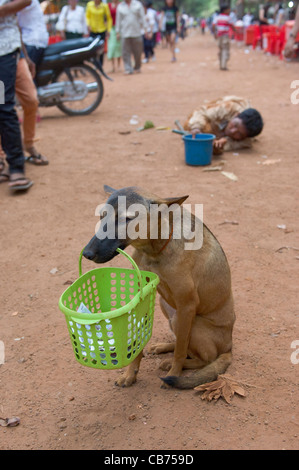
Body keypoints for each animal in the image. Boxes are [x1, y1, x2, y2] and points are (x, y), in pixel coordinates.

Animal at [83, 186, 236, 390]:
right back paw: (163, 347)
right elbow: (141, 342)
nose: (87, 253)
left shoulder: (187, 305)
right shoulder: (142, 297)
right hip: (167, 307)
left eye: (126, 219)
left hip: (185, 319)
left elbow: (180, 351)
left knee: (201, 357)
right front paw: (130, 374)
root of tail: (229, 347)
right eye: (102, 216)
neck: (154, 250)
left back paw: (172, 365)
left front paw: (173, 373)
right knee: (181, 342)